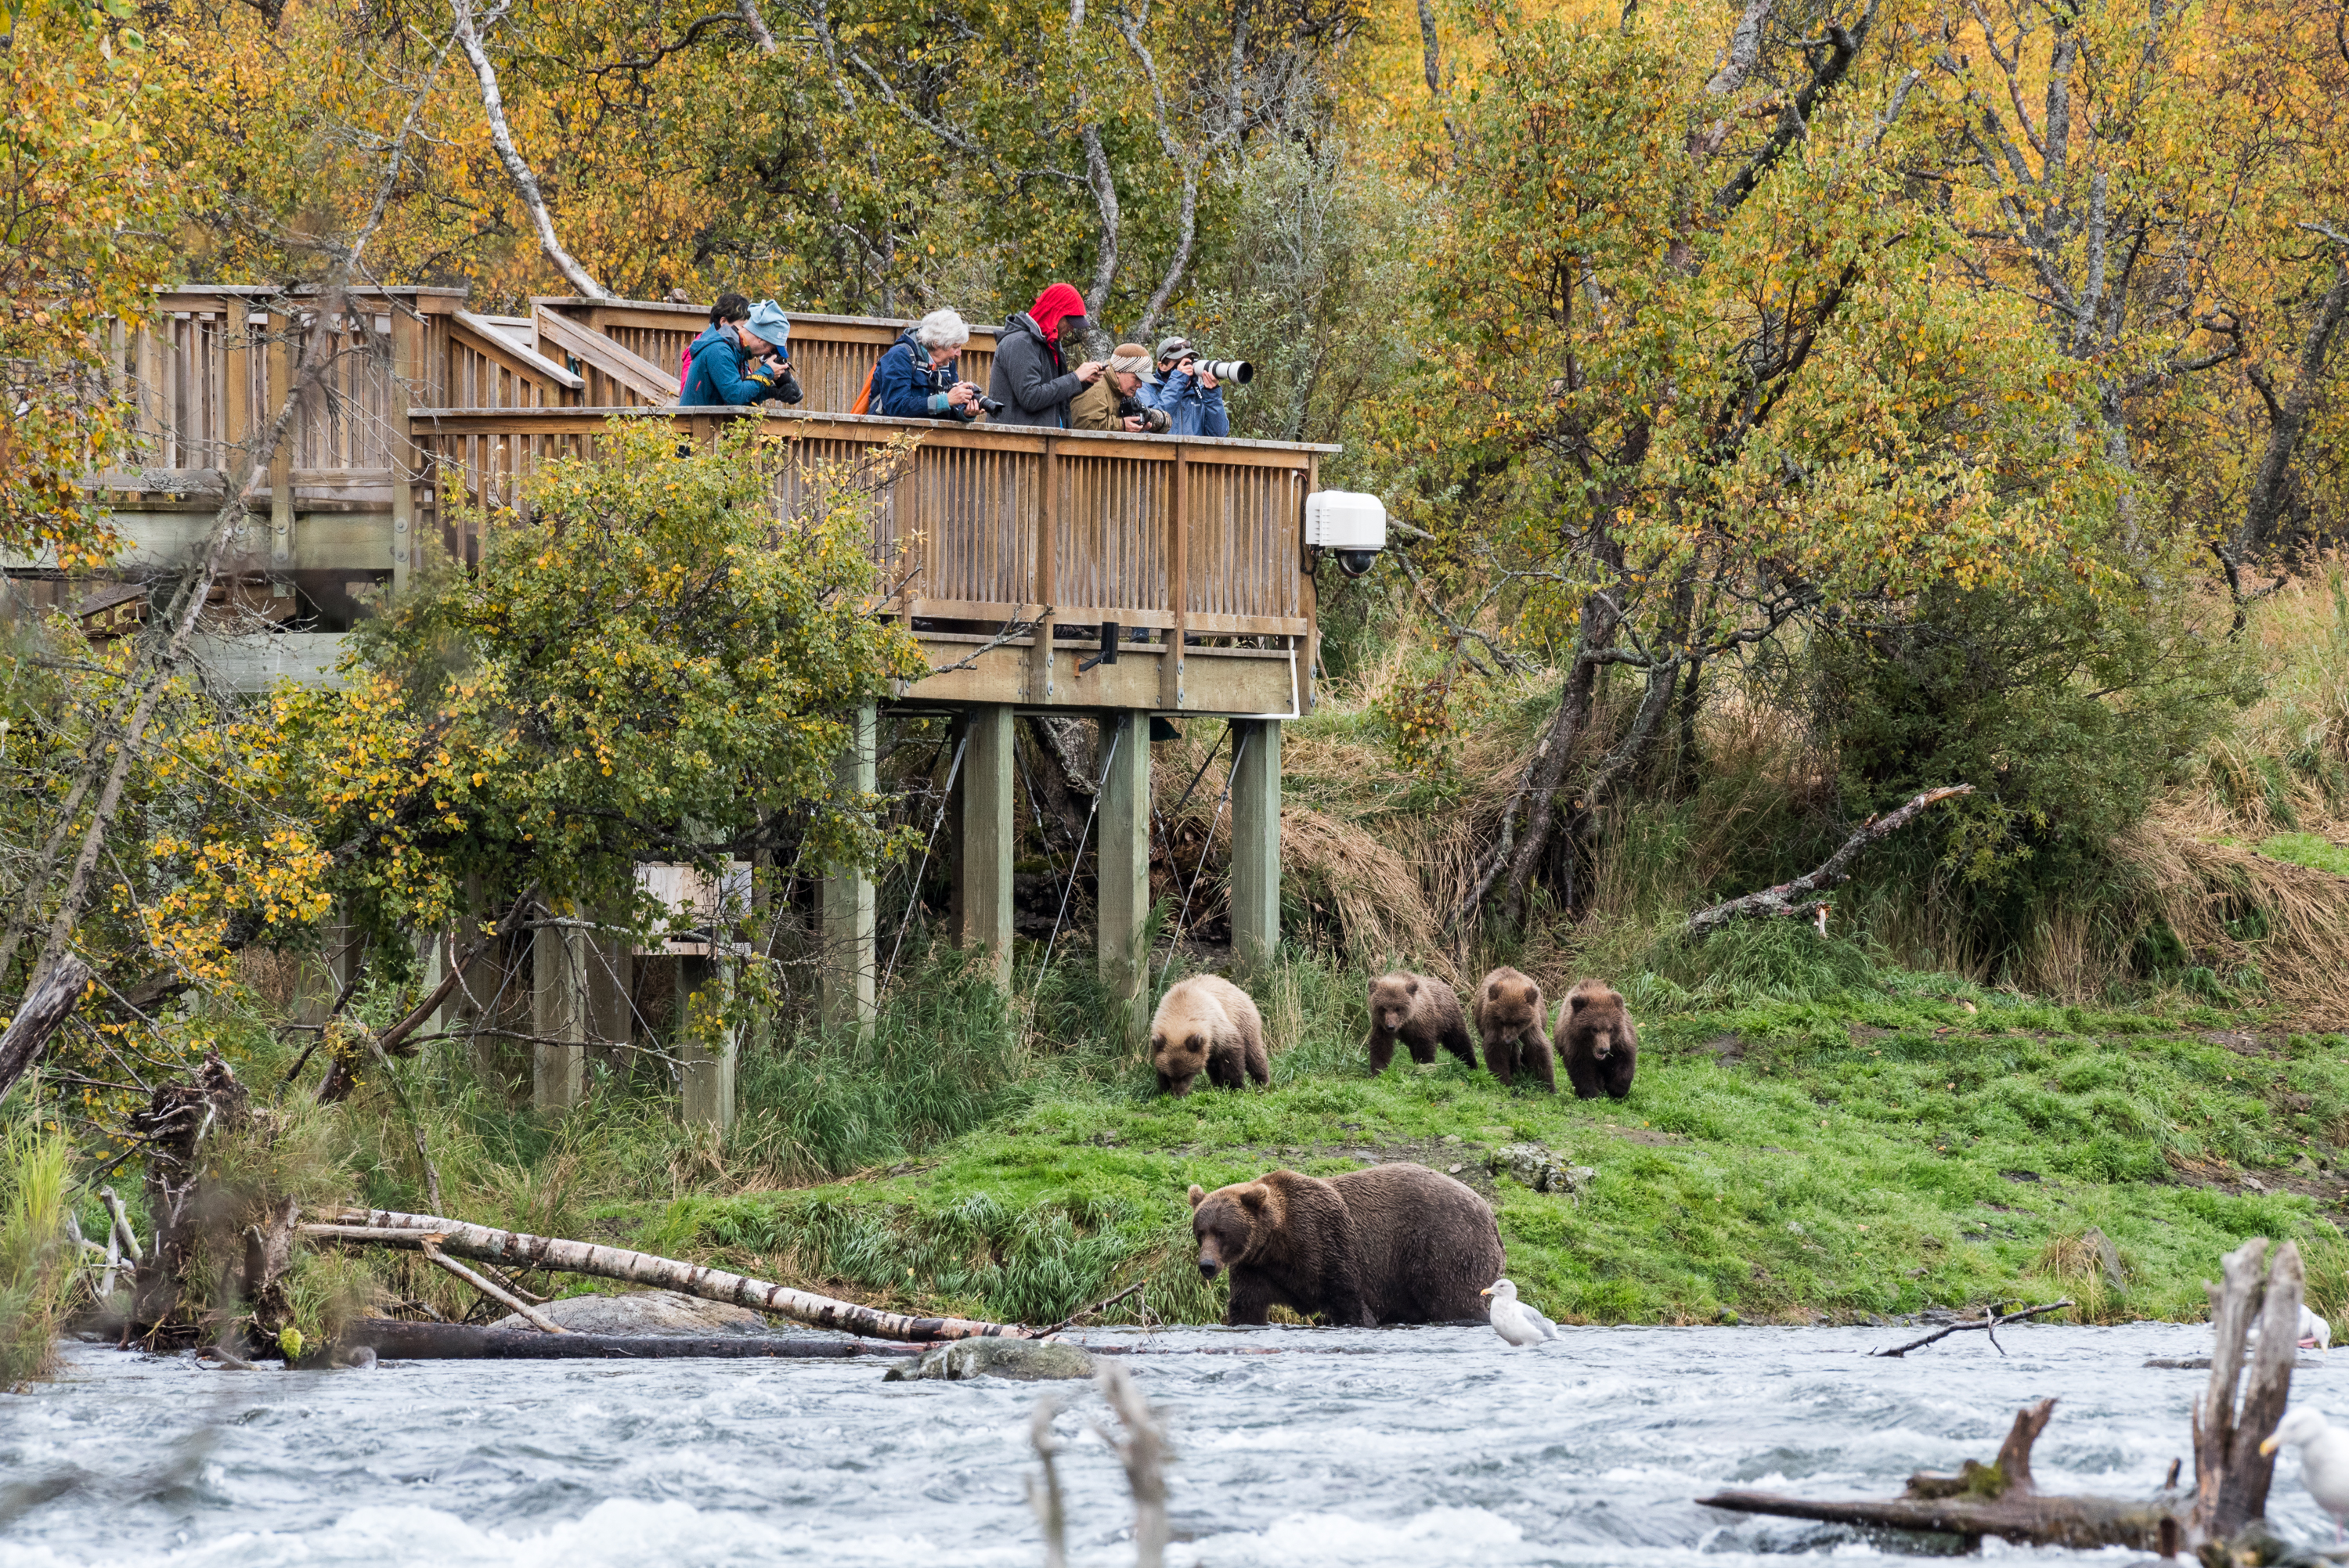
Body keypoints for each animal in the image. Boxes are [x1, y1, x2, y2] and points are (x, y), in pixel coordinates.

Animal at [1150, 974, 1270, 1096]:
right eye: (1170, 1075)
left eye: (1187, 1074)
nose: (1179, 1095)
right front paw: (1165, 1090)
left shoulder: (1219, 1029)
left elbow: (1232, 1057)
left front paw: (1236, 1086)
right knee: (1214, 1065)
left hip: (1244, 1022)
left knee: (1253, 1054)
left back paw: (1262, 1082)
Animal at [1186, 1162, 1504, 1326]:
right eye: (1200, 1231)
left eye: (1222, 1232)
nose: (1207, 1265)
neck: (1278, 1242)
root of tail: (1490, 1214)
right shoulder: (1256, 1268)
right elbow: (1246, 1308)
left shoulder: (1327, 1244)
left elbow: (1350, 1303)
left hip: (1444, 1248)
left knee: (1457, 1301)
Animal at [1364, 971, 1476, 1074]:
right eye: (1383, 1008)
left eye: (1398, 1008)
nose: (1390, 1026)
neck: (1406, 1021)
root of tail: (1447, 986)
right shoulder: (1380, 1025)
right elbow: (1380, 1046)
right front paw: (1378, 1071)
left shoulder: (1422, 1023)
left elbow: (1425, 1047)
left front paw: (1425, 1068)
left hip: (1449, 1019)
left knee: (1459, 1041)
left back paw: (1472, 1064)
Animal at [1473, 966, 1556, 1093]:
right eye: (1502, 1021)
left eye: (1518, 1021)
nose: (1507, 1040)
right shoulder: (1493, 1026)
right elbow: (1496, 1051)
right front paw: (1504, 1081)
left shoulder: (1531, 1026)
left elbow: (1537, 1048)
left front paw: (1549, 1084)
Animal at [1555, 979, 1638, 1100]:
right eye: (1594, 1029)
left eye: (1610, 1029)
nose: (1603, 1049)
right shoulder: (1576, 1046)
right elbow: (1582, 1070)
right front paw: (1590, 1094)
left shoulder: (1619, 1043)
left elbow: (1624, 1061)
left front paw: (1617, 1090)